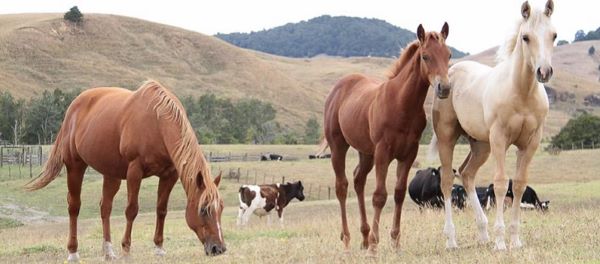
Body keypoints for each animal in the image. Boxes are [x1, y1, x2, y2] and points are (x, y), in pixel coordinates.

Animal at [24, 81, 227, 262]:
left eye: (221, 208)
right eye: (204, 209)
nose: (218, 248)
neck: (157, 122)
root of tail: (73, 108)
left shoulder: (169, 175)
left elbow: (161, 210)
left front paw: (159, 248)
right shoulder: (134, 171)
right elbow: (131, 210)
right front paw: (126, 249)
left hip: (111, 174)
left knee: (105, 207)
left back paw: (108, 252)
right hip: (75, 166)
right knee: (74, 206)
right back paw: (73, 253)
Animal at [318, 23, 450, 255]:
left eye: (449, 55)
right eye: (425, 56)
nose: (444, 87)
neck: (401, 104)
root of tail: (338, 88)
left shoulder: (408, 154)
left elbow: (398, 193)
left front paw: (395, 242)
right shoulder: (383, 152)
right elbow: (380, 196)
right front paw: (374, 245)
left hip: (366, 153)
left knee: (358, 180)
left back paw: (363, 236)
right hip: (339, 147)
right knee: (342, 186)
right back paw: (348, 240)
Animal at [428, 1, 556, 251]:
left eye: (554, 35)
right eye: (525, 37)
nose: (544, 72)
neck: (522, 93)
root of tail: (449, 75)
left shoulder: (530, 143)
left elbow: (519, 184)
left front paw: (515, 240)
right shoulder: (499, 139)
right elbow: (500, 184)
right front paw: (500, 242)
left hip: (480, 145)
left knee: (467, 174)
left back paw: (483, 233)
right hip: (449, 137)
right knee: (447, 180)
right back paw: (452, 240)